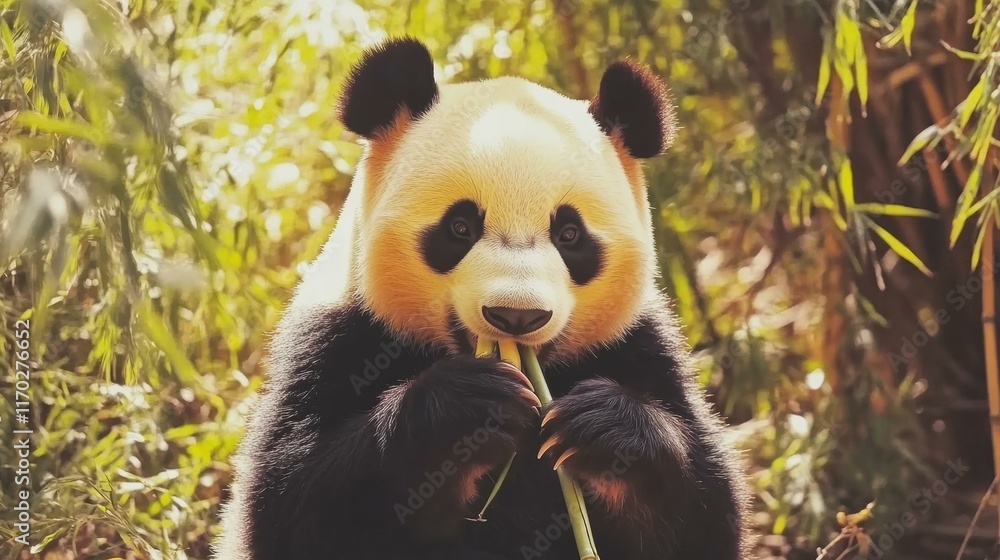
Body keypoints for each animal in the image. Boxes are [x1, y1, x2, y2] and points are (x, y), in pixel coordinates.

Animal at [215, 37, 750, 560]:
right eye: (459, 227)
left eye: (570, 234)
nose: (516, 316)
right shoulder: (337, 337)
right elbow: (293, 504)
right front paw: (466, 412)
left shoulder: (638, 346)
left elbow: (704, 511)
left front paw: (604, 427)